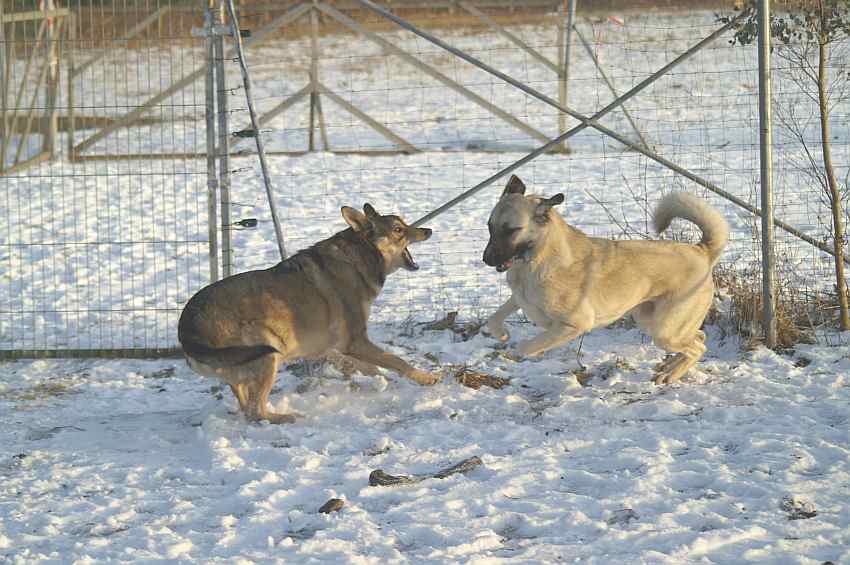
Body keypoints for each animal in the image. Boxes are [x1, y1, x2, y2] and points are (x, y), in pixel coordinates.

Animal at [181, 204, 440, 424]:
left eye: (404, 223)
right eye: (398, 229)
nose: (428, 230)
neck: (359, 258)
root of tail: (186, 327)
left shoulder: (339, 346)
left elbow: (372, 367)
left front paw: (383, 382)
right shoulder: (356, 341)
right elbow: (396, 360)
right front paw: (427, 378)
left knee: (246, 407)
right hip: (269, 354)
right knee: (256, 411)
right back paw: (287, 417)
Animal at [484, 176, 728, 386]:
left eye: (511, 230)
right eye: (489, 226)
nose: (486, 259)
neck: (536, 260)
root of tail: (702, 251)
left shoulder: (573, 325)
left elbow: (526, 346)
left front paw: (516, 352)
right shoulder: (519, 297)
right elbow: (494, 318)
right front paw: (502, 334)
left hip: (665, 331)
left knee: (698, 348)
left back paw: (669, 374)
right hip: (651, 321)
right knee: (700, 337)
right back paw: (669, 366)